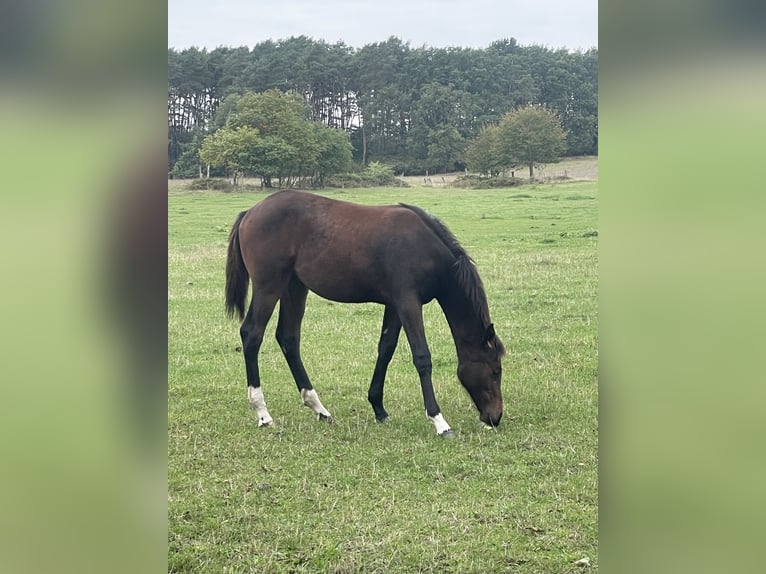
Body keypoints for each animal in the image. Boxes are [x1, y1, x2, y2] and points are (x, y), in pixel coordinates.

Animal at [225, 191, 508, 438]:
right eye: (495, 370)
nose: (495, 418)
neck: (424, 247)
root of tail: (250, 212)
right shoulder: (408, 302)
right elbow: (422, 357)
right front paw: (439, 422)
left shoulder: (394, 305)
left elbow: (386, 349)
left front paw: (379, 409)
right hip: (269, 286)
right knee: (252, 334)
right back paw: (263, 413)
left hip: (294, 286)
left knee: (288, 338)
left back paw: (319, 408)